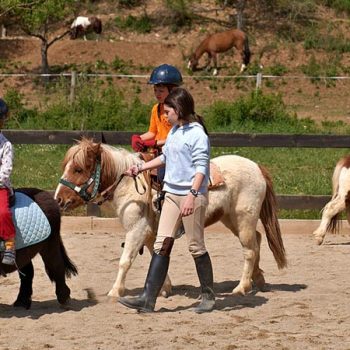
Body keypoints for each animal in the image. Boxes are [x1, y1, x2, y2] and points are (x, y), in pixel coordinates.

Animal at [53, 138, 286, 300]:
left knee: (249, 250)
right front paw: (164, 288)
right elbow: (156, 256)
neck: (130, 186)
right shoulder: (150, 233)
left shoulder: (137, 230)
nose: (59, 199)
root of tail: (257, 167)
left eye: (78, 169)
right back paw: (258, 279)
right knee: (257, 240)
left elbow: (125, 261)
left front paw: (115, 291)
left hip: (243, 219)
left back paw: (241, 287)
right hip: (232, 219)